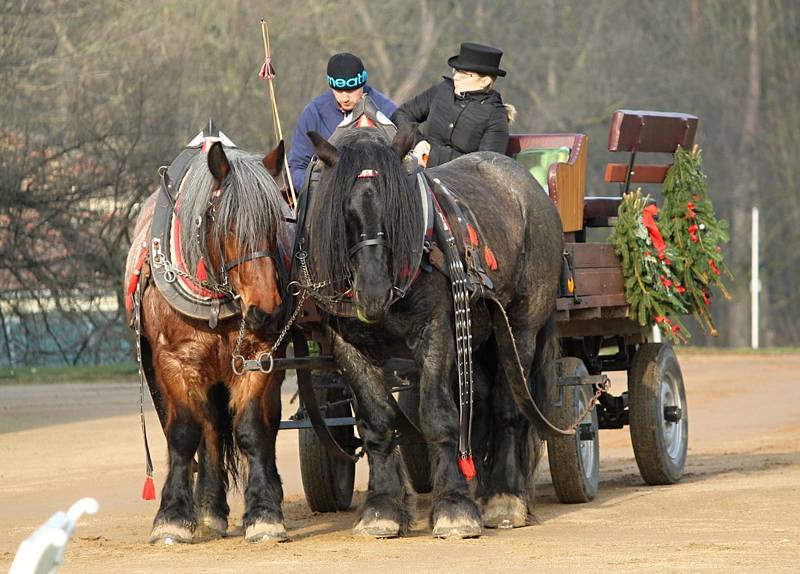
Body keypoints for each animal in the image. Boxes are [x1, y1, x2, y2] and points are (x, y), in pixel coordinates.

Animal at [122, 140, 290, 544]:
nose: (266, 312)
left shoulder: (258, 358)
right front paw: (172, 518)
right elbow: (184, 434)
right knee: (209, 428)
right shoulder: (174, 362)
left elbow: (252, 430)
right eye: (227, 223)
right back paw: (209, 507)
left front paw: (264, 513)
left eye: (275, 223)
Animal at [304, 126, 564, 540]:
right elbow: (377, 421)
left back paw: (505, 497)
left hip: (521, 328)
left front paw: (454, 506)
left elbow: (438, 416)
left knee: (509, 406)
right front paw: (382, 508)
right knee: (481, 402)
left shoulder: (438, 330)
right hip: (480, 337)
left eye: (398, 207)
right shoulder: (347, 345)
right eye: (345, 210)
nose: (373, 292)